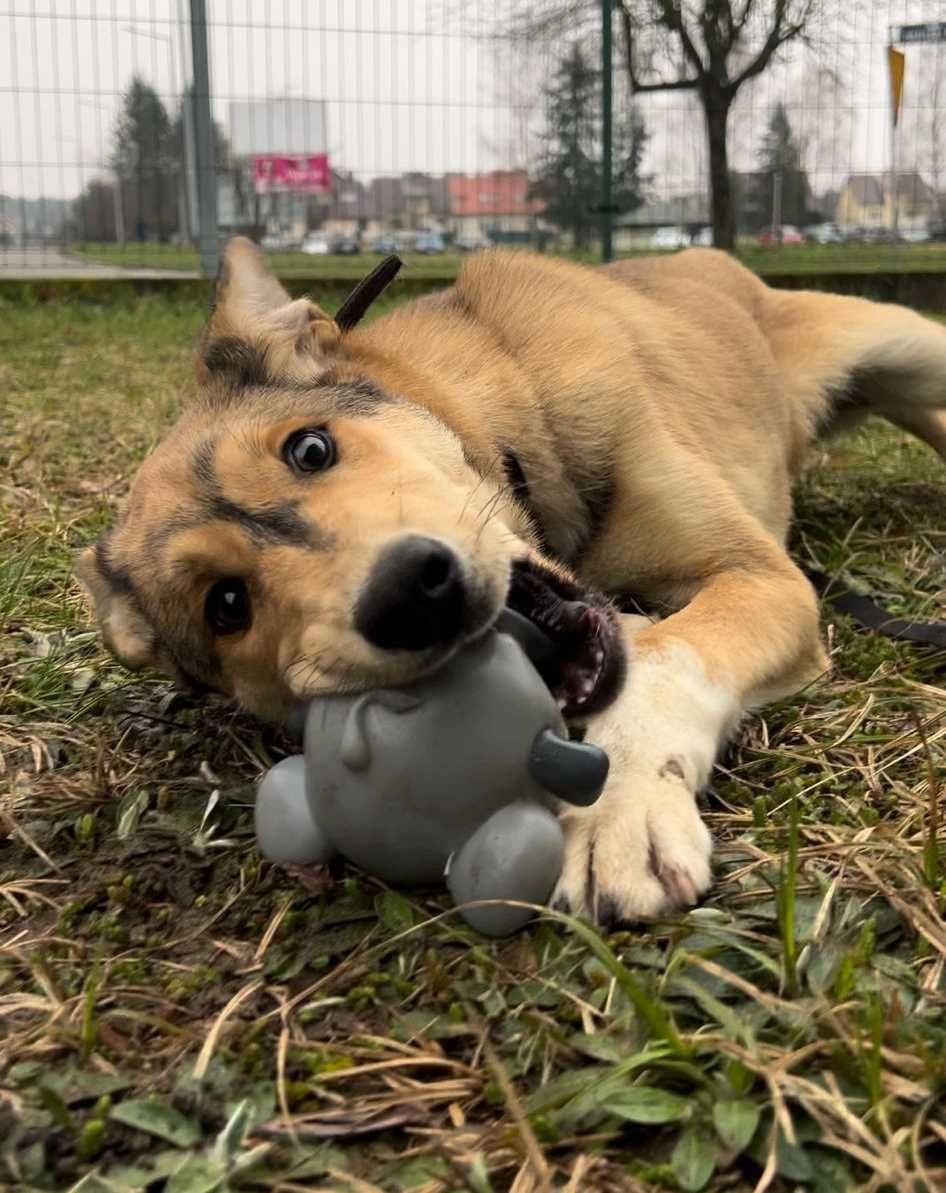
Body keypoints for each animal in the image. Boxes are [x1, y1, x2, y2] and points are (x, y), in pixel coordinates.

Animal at [75, 237, 946, 925]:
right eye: (226, 605)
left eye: (311, 449)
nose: (409, 595)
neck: (505, 398)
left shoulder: (760, 573)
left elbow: (670, 657)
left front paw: (618, 808)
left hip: (903, 346)